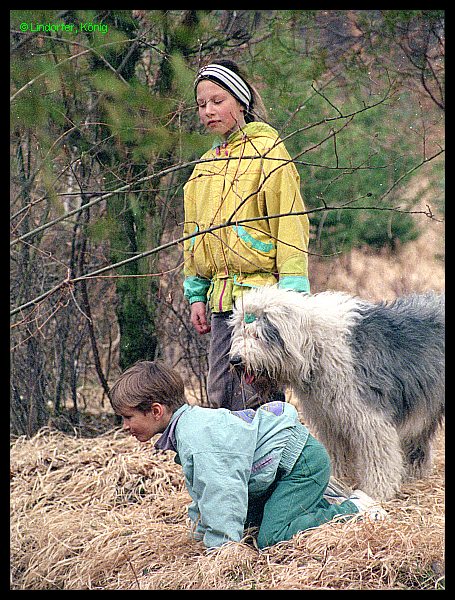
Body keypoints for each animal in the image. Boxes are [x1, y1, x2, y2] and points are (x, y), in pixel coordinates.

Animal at [229, 286, 445, 500]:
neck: (315, 345)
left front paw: (377, 491)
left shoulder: (370, 417)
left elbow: (378, 455)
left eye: (257, 335)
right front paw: (337, 479)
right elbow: (336, 452)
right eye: (241, 333)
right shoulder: (330, 420)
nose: (235, 360)